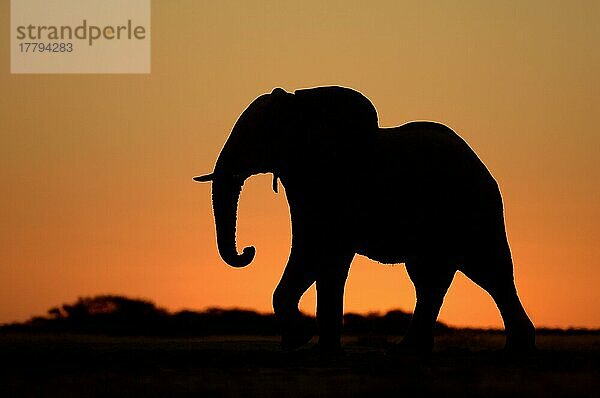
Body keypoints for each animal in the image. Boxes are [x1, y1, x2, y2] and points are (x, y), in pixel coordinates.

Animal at [195, 85, 536, 352]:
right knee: (430, 278)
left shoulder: (337, 185)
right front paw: (309, 345)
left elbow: (321, 253)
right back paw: (409, 350)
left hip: (474, 207)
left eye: (260, 134)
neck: (302, 107)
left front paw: (308, 345)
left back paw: (516, 348)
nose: (249, 250)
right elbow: (316, 255)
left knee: (491, 272)